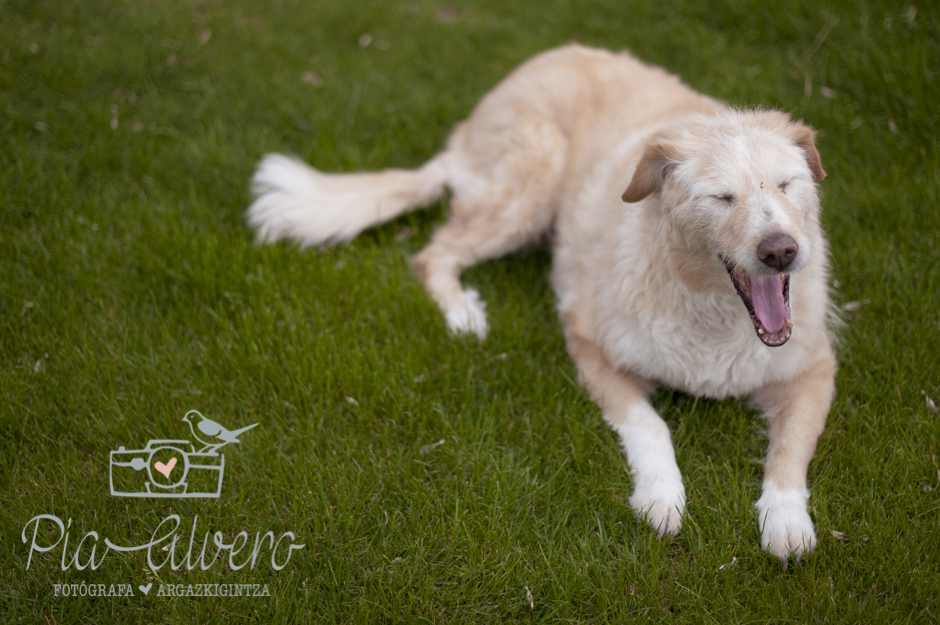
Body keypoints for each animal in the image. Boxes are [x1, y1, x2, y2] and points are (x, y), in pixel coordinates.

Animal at [244, 44, 836, 560]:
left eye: (787, 185)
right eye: (722, 198)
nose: (781, 251)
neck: (713, 312)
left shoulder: (814, 371)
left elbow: (790, 454)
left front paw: (786, 522)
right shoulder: (589, 346)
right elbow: (651, 426)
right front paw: (662, 497)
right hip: (530, 186)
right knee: (434, 254)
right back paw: (463, 314)